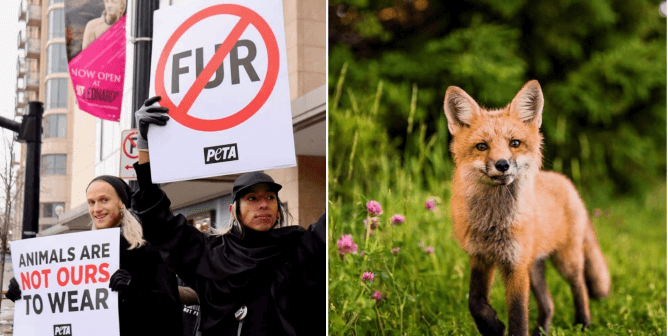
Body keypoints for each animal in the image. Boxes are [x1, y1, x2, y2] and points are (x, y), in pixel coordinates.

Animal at [444, 80, 612, 334]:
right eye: (482, 146)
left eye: (515, 143)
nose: (502, 164)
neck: (494, 223)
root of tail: (565, 181)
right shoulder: (481, 257)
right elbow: (475, 302)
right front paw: (492, 327)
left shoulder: (516, 265)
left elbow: (518, 315)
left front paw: (505, 328)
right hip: (534, 268)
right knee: (549, 304)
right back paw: (542, 330)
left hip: (565, 260)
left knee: (580, 286)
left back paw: (584, 323)